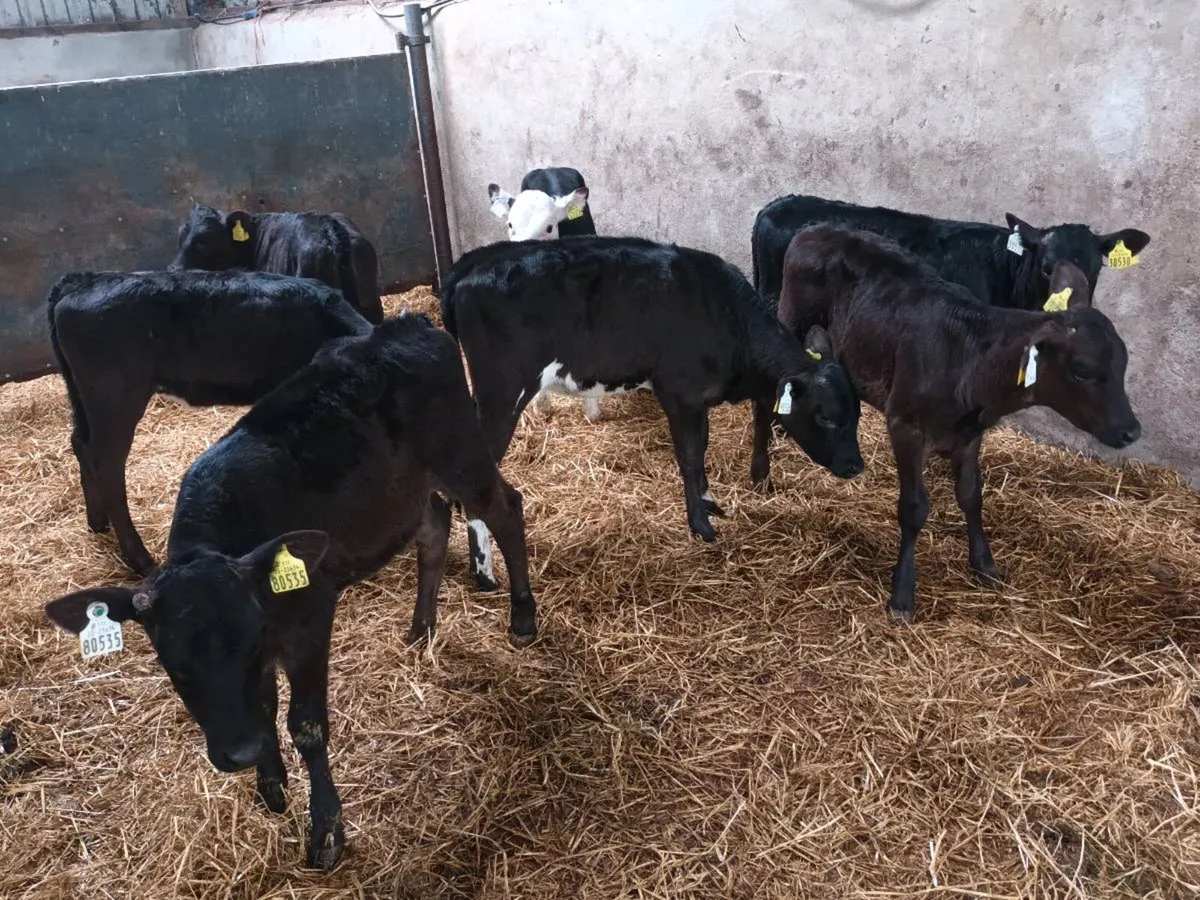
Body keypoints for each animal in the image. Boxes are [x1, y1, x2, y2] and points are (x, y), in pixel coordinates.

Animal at [44, 311, 538, 870]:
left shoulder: (309, 622)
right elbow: (264, 706)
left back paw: (522, 617)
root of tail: (406, 325)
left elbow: (305, 725)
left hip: (463, 457)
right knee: (433, 525)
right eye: (174, 665)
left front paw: (326, 831)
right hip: (407, 488)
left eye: (249, 642)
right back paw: (420, 629)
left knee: (506, 508)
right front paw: (271, 782)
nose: (239, 752)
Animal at [48, 270, 372, 576]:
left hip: (83, 396)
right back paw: (139, 558)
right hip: (116, 398)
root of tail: (82, 280)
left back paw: (97, 522)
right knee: (107, 464)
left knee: (81, 444)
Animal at [440, 235, 864, 590]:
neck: (727, 317)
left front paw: (709, 501)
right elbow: (689, 457)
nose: (855, 466)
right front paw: (701, 525)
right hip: (502, 395)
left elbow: (702, 449)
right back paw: (485, 575)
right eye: (826, 417)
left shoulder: (698, 399)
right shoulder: (679, 393)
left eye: (857, 414)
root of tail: (477, 261)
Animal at [761, 225, 1141, 621]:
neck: (968, 362)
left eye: (1123, 364)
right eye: (1082, 370)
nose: (1131, 430)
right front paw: (902, 594)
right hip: (793, 317)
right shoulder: (905, 425)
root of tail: (817, 229)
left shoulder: (969, 435)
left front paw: (985, 565)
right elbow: (914, 509)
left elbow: (971, 496)